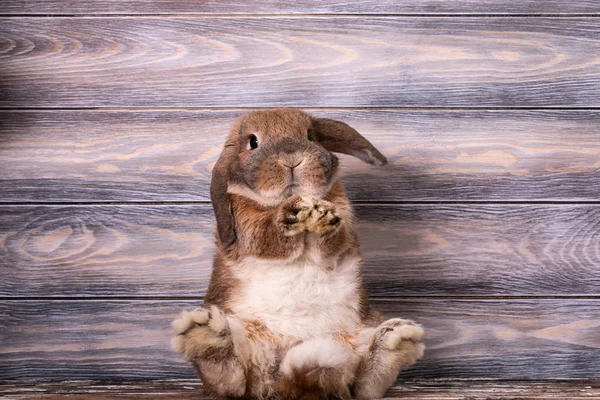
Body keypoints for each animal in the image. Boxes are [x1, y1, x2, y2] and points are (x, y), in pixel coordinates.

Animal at [171, 109, 424, 400]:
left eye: (310, 135)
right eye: (252, 142)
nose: (291, 159)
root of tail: (278, 382)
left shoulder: (344, 219)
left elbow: (333, 240)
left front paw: (323, 217)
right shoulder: (246, 224)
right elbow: (267, 234)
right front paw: (292, 212)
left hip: (358, 337)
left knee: (362, 385)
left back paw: (395, 340)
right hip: (245, 347)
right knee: (233, 382)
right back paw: (205, 335)